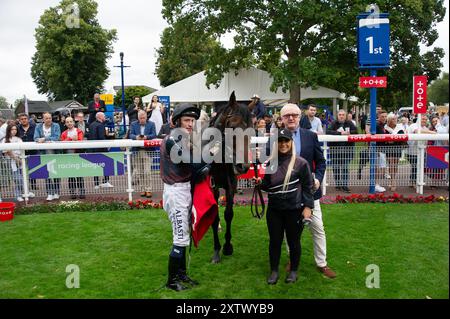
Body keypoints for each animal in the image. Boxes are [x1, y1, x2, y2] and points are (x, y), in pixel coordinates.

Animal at [209, 91, 255, 264]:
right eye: (233, 126)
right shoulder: (212, 186)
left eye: (252, 130)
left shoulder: (231, 185)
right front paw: (216, 251)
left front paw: (228, 246)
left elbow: (228, 214)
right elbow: (214, 216)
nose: (244, 166)